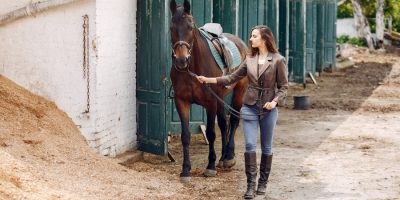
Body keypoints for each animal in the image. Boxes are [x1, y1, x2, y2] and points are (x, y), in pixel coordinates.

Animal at [169, 0, 247, 182]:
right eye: (171, 27)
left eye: (190, 26)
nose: (181, 60)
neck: (192, 68)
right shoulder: (182, 102)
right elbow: (185, 135)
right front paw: (185, 170)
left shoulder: (210, 103)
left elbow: (211, 133)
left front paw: (210, 166)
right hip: (220, 98)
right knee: (224, 123)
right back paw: (223, 157)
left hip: (239, 92)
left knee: (233, 121)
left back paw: (229, 157)